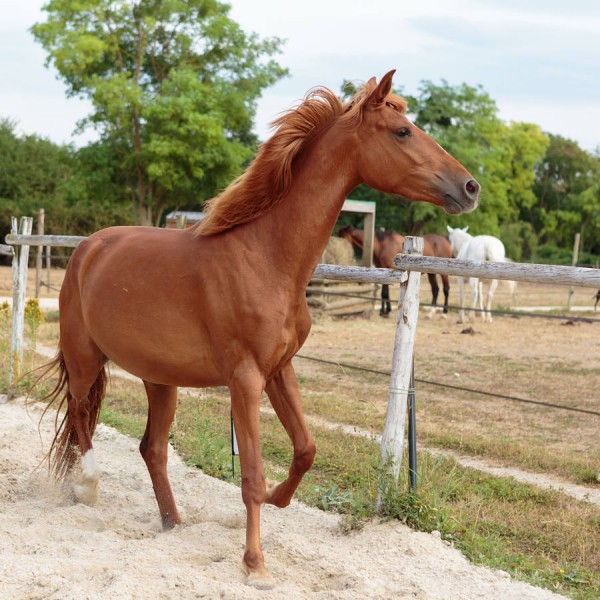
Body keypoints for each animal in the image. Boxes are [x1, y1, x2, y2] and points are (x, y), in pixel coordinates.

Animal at [39, 69, 478, 584]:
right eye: (402, 131)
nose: (469, 187)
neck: (266, 257)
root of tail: (87, 249)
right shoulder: (245, 379)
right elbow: (250, 475)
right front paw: (255, 564)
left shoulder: (279, 370)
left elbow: (306, 449)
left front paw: (278, 499)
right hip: (85, 360)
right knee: (80, 416)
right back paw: (88, 487)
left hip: (159, 379)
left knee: (152, 448)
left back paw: (173, 522)